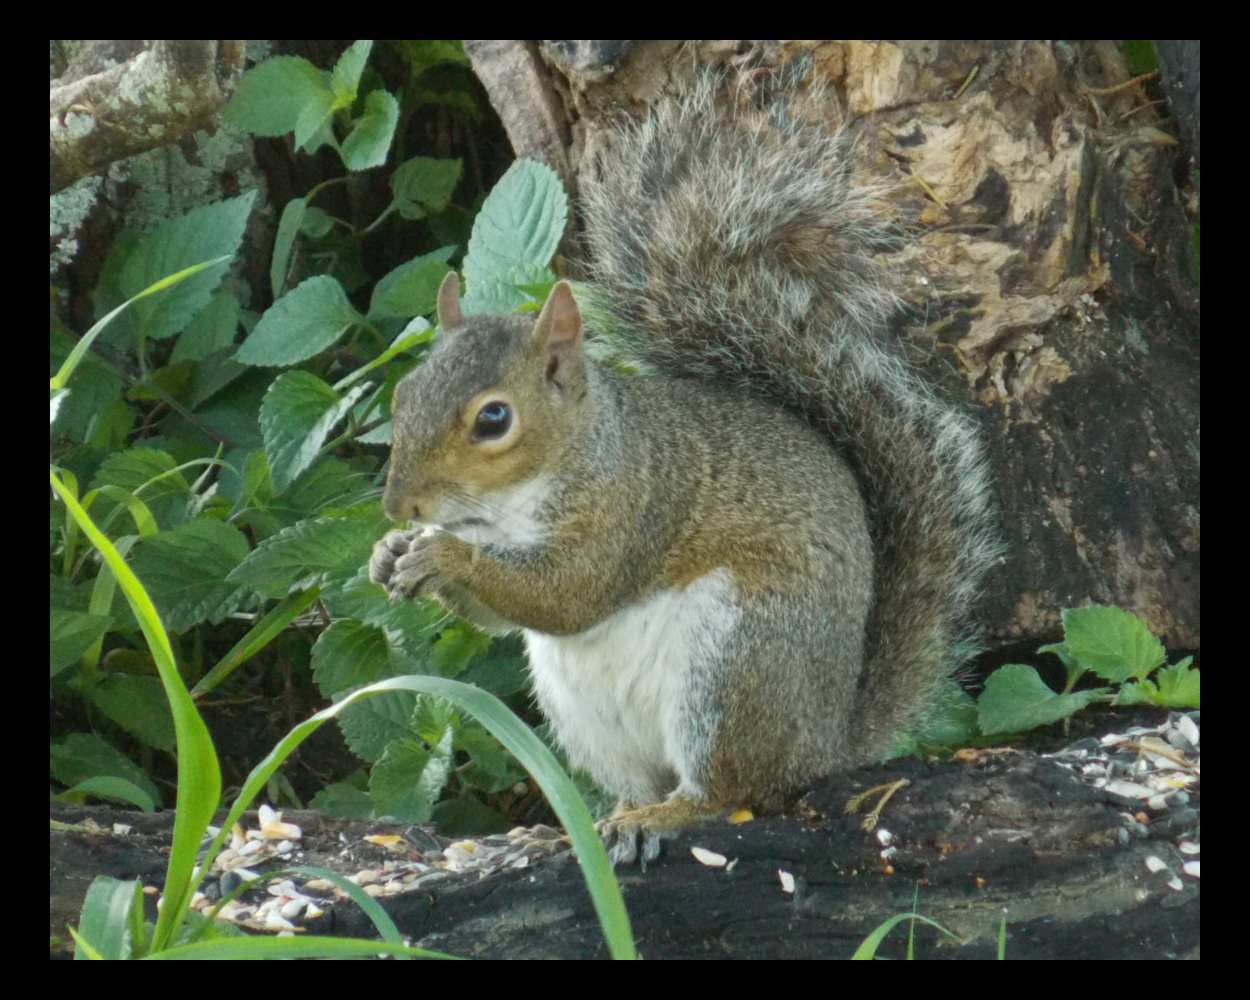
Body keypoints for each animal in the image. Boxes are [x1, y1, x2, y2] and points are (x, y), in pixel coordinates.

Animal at [369, 70, 1001, 864]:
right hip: (587, 713)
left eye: (493, 419)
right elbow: (501, 617)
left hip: (734, 662)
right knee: (644, 779)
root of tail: (826, 743)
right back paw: (600, 821)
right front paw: (389, 554)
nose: (401, 507)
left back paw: (665, 817)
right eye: (404, 394)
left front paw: (442, 555)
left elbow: (567, 593)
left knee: (732, 791)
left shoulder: (634, 504)